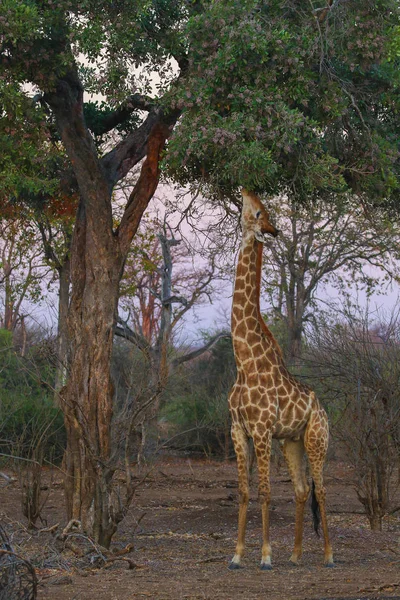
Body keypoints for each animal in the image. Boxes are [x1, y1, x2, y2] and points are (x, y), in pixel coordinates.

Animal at [228, 190, 334, 568]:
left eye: (259, 211)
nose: (244, 190)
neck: (244, 360)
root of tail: (323, 409)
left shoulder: (261, 430)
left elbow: (264, 491)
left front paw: (264, 555)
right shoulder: (238, 429)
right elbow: (244, 491)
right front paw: (237, 555)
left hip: (317, 440)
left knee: (321, 488)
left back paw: (329, 555)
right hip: (292, 442)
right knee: (302, 489)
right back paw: (297, 554)